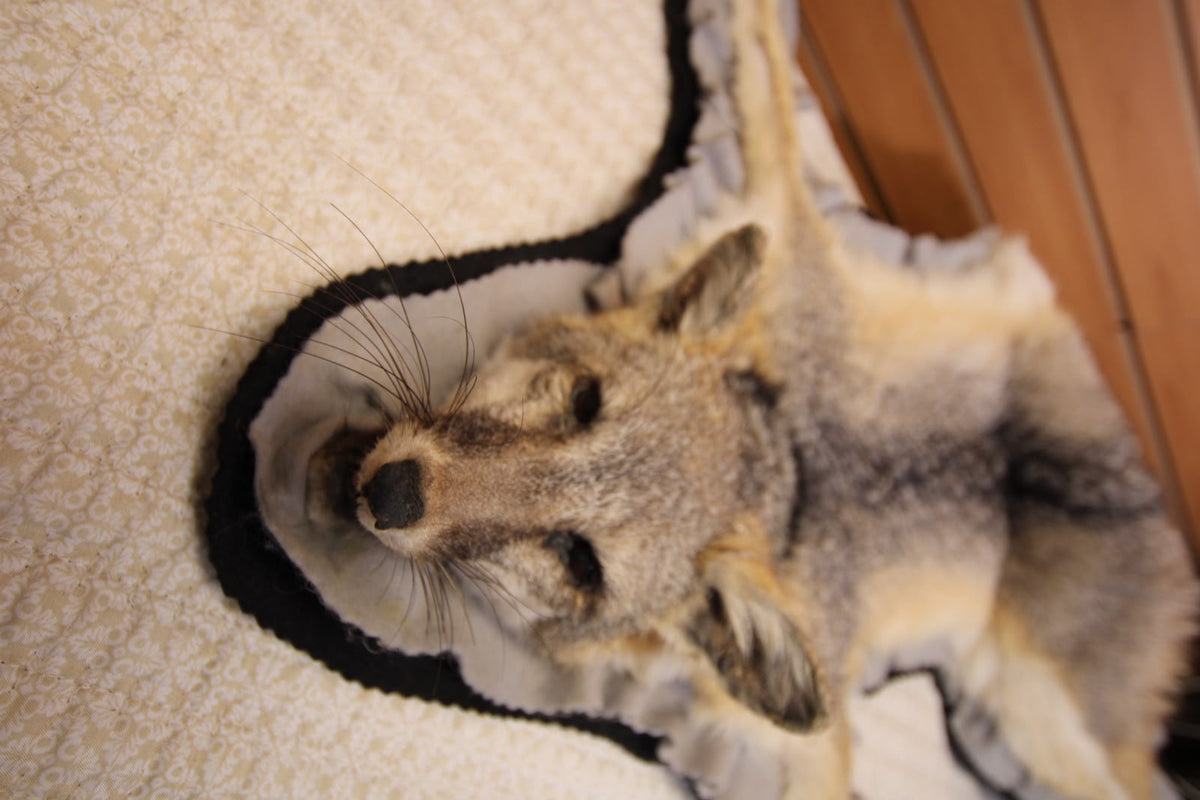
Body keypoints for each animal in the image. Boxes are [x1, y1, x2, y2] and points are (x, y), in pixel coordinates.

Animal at [289, 1, 1199, 797]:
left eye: (582, 563)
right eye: (583, 399)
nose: (391, 493)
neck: (792, 470)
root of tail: (1131, 490)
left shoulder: (821, 750)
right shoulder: (786, 225)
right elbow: (766, 68)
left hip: (1042, 725)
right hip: (1009, 286)